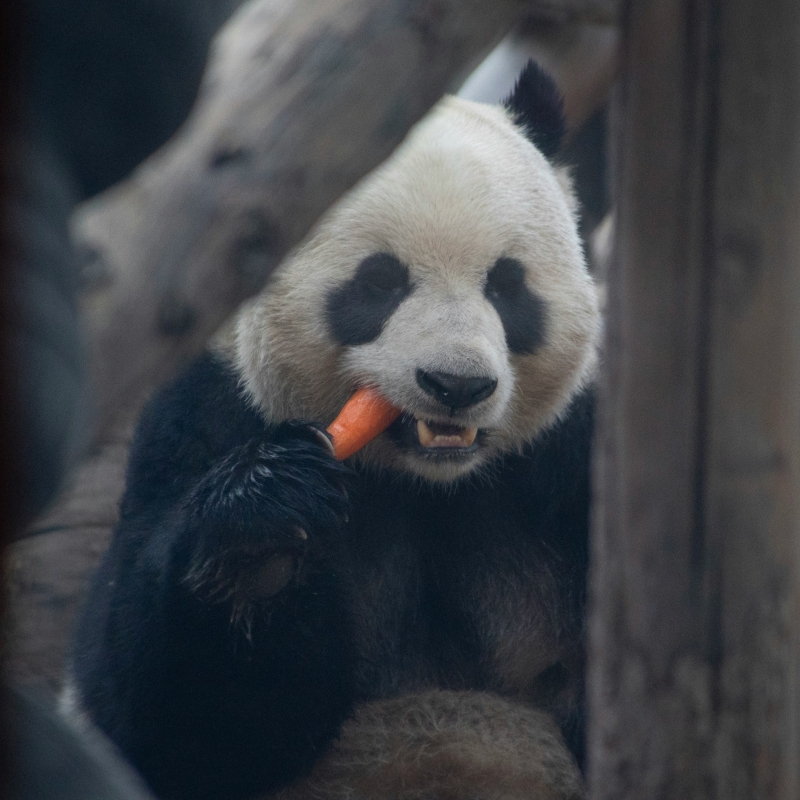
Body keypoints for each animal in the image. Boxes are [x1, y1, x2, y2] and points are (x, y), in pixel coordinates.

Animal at [67, 61, 601, 800]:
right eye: (379, 282)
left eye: (506, 285)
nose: (456, 385)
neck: (422, 480)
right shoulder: (205, 420)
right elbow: (163, 720)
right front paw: (262, 532)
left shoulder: (565, 457)